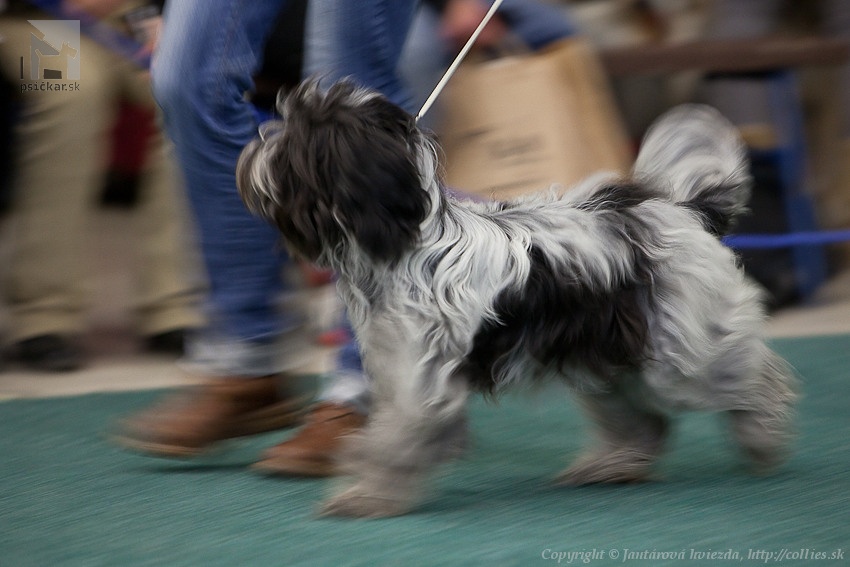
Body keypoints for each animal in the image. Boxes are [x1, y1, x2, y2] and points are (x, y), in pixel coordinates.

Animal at [237, 80, 796, 520]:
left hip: (680, 354)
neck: (404, 241)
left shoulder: (420, 378)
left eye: (296, 139)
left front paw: (366, 497)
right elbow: (388, 434)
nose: (251, 147)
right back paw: (614, 466)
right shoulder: (395, 365)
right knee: (644, 420)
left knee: (754, 376)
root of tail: (683, 210)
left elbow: (392, 443)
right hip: (606, 360)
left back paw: (763, 436)